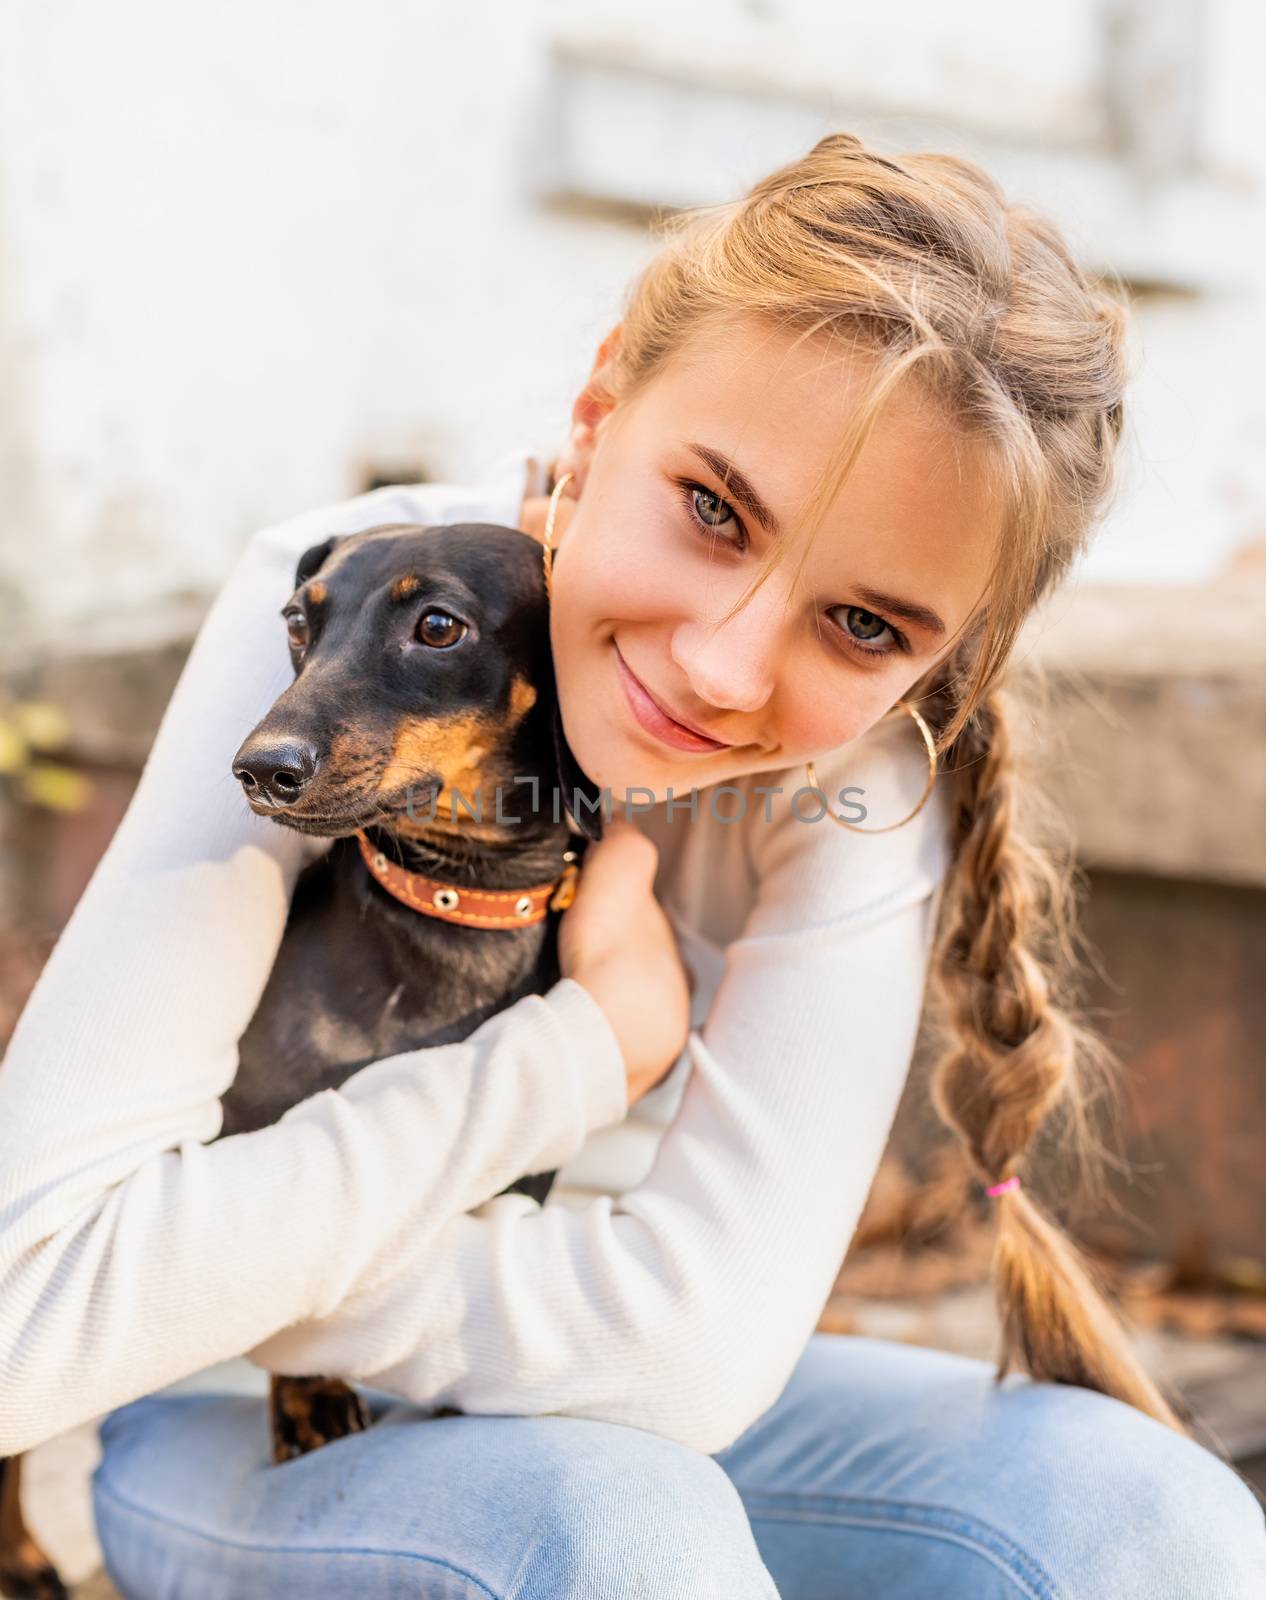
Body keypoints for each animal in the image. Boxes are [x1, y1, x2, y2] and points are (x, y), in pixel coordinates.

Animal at [0, 521, 604, 1600]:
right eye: (295, 619)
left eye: (438, 625)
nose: (258, 767)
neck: (449, 911)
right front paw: (311, 1396)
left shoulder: (516, 1193)